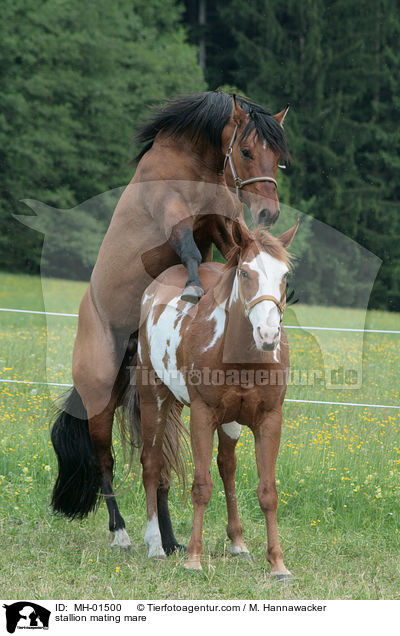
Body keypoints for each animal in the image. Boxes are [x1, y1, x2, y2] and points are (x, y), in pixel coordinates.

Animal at [51, 90, 290, 556]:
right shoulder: (175, 218)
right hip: (100, 397)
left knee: (158, 466)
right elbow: (190, 252)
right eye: (247, 151)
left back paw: (169, 538)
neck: (191, 163)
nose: (268, 212)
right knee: (105, 460)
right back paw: (122, 533)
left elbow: (231, 248)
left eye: (279, 158)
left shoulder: (221, 222)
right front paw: (195, 289)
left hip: (161, 400)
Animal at [136, 219, 298, 576]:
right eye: (246, 273)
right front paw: (194, 559)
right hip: (153, 397)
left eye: (285, 275)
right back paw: (154, 544)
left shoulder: (269, 419)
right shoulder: (202, 415)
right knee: (152, 465)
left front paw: (277, 563)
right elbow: (201, 486)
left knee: (227, 467)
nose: (268, 335)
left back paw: (237, 543)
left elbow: (267, 491)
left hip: (230, 421)